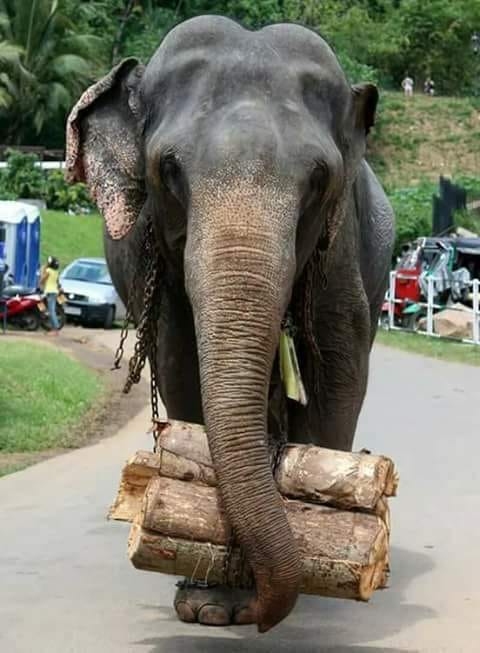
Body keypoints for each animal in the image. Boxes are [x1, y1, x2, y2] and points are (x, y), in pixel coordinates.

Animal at [65, 15, 394, 633]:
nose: (262, 617)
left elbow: (338, 369)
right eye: (168, 170)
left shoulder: (340, 246)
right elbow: (180, 365)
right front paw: (209, 605)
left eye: (320, 179)